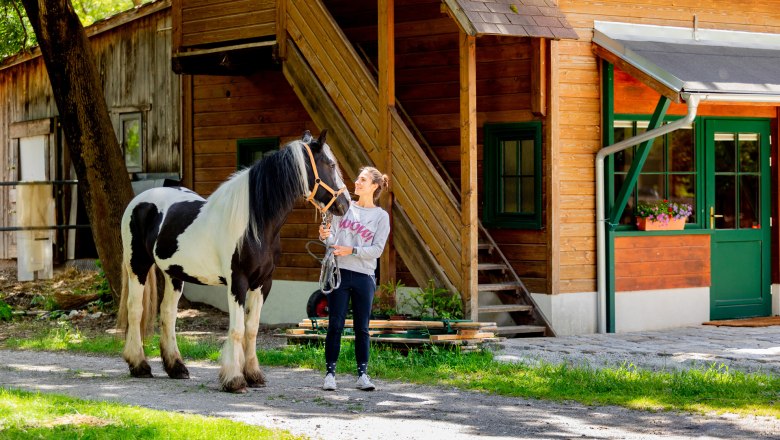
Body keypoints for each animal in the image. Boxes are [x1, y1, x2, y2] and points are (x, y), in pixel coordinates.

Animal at [117, 130, 348, 392]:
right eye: (330, 165)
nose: (346, 204)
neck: (254, 224)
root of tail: (140, 200)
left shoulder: (263, 283)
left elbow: (252, 329)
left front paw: (254, 374)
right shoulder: (238, 281)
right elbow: (237, 329)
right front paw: (234, 379)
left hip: (173, 273)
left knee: (168, 313)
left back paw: (176, 367)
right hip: (137, 266)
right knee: (135, 310)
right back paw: (139, 365)